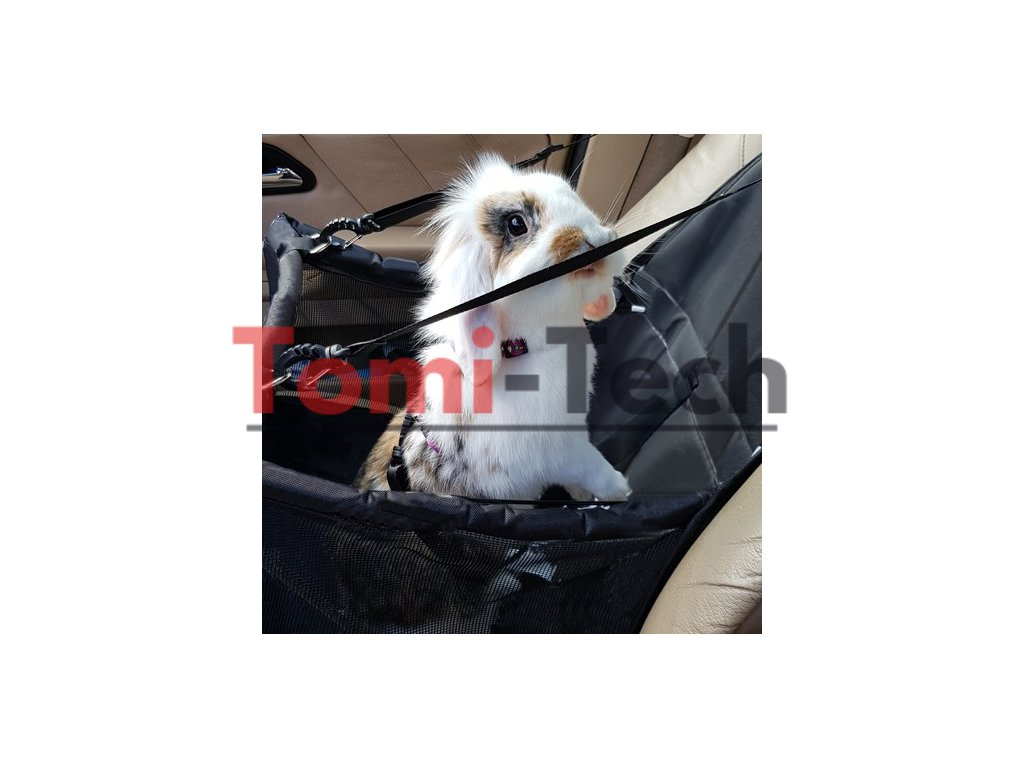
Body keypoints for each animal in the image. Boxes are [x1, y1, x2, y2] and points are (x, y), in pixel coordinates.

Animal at [355, 153, 632, 501]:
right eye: (516, 224)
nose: (601, 239)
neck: (524, 347)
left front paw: (587, 499)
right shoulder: (562, 450)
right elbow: (592, 467)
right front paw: (620, 490)